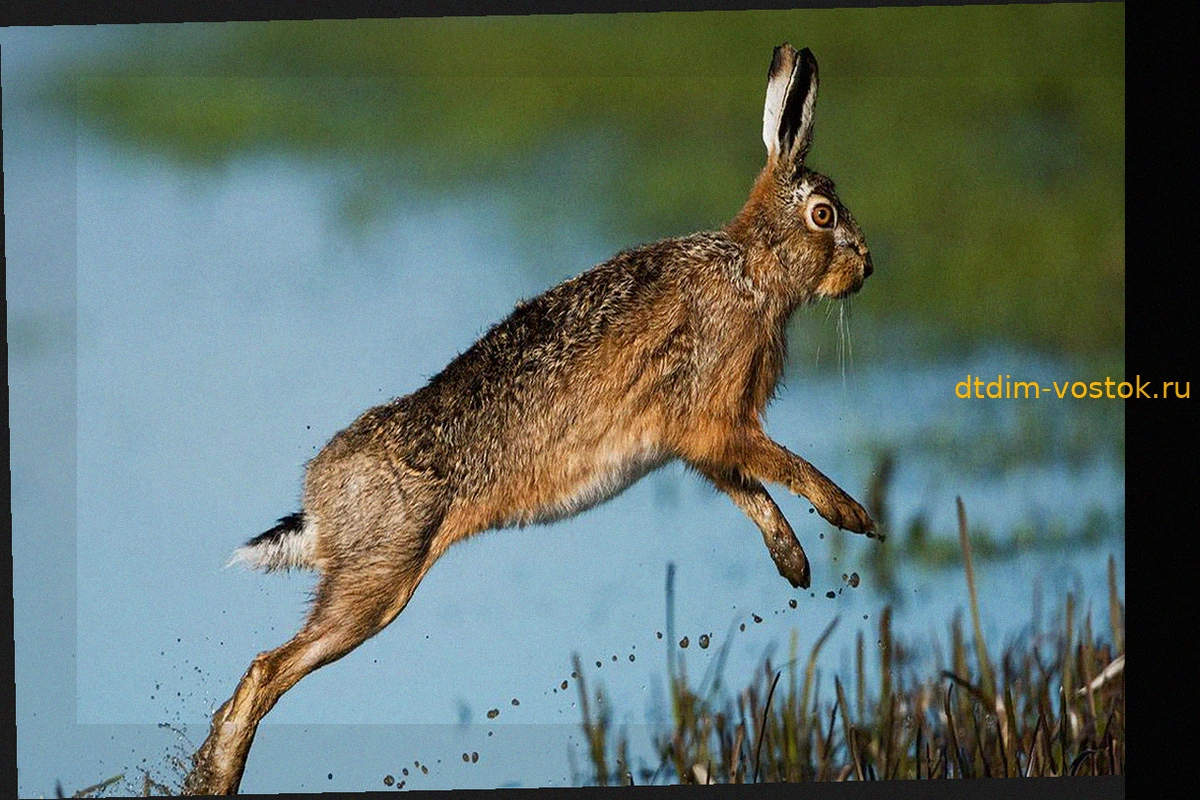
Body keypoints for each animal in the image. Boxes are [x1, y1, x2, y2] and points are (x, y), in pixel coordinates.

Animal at [183, 43, 876, 795]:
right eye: (822, 216)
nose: (868, 268)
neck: (754, 268)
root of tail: (319, 498)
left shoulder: (697, 441)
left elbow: (748, 490)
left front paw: (795, 565)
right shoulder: (716, 416)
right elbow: (782, 463)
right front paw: (852, 515)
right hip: (378, 579)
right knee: (265, 672)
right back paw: (215, 775)